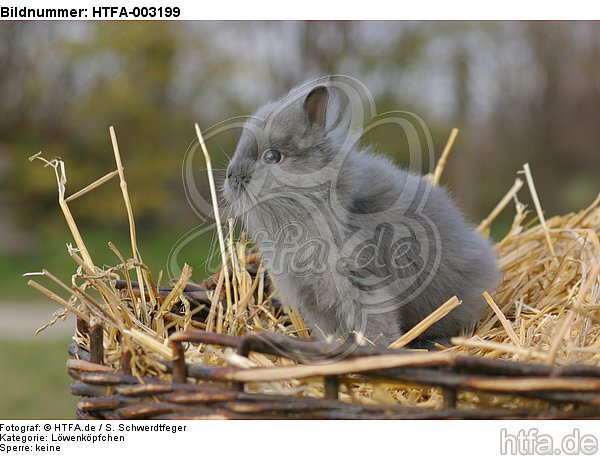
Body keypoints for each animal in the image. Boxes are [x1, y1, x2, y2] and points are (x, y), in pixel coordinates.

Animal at [223, 81, 500, 346]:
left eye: (272, 156)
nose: (230, 175)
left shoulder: (364, 286)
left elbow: (376, 327)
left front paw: (377, 349)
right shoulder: (313, 300)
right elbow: (330, 332)